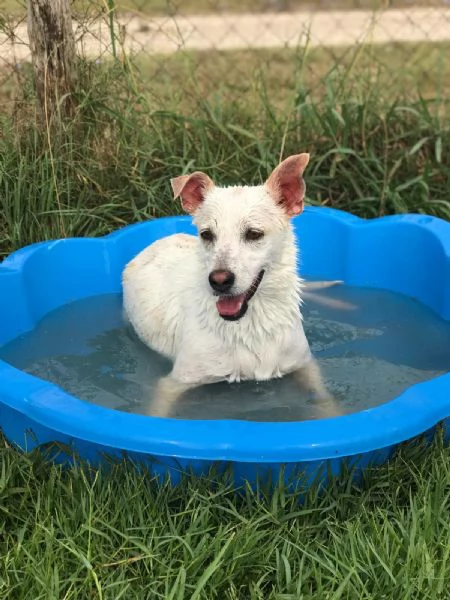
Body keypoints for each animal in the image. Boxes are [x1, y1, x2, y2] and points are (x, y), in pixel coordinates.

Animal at [121, 154, 342, 418]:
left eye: (254, 233)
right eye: (206, 234)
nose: (219, 280)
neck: (249, 326)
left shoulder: (304, 366)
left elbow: (325, 399)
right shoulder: (174, 383)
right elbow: (156, 414)